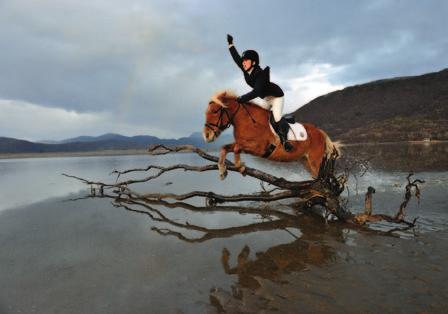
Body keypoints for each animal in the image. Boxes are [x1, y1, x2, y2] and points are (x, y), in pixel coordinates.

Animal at [203, 91, 340, 179]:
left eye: (215, 111)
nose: (207, 135)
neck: (247, 121)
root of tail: (320, 132)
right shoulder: (242, 143)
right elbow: (225, 148)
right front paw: (222, 172)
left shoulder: (258, 148)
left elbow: (236, 149)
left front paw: (240, 167)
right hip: (305, 161)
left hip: (315, 161)